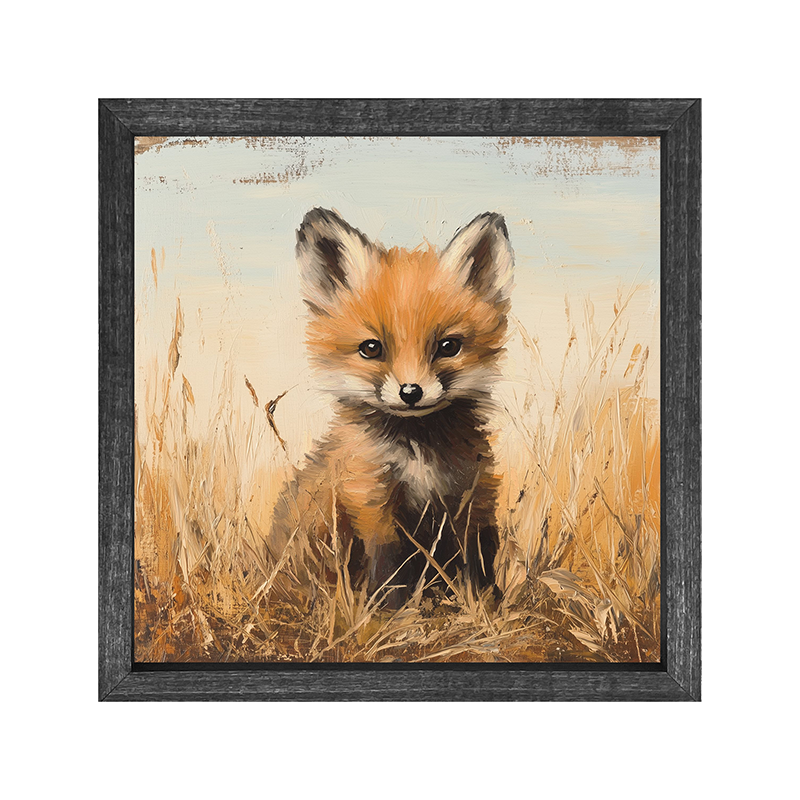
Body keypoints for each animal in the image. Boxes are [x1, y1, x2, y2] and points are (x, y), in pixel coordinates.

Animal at [271, 207, 514, 606]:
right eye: (371, 348)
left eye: (448, 346)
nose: (411, 392)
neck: (418, 453)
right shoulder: (370, 499)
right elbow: (390, 565)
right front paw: (395, 612)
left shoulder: (471, 494)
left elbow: (478, 559)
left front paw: (484, 605)